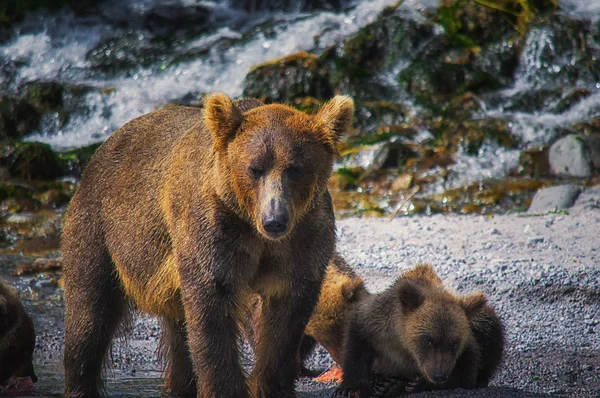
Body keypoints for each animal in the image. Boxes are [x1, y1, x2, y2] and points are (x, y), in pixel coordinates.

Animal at [61, 94, 352, 398]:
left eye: (295, 169)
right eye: (254, 168)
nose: (275, 220)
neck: (254, 230)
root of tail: (104, 147)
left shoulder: (303, 239)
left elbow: (286, 319)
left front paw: (271, 386)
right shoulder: (213, 231)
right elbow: (211, 307)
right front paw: (226, 388)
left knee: (177, 336)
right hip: (101, 229)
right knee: (90, 312)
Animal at [336, 262, 504, 396]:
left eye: (454, 343)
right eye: (428, 341)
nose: (439, 375)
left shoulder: (466, 346)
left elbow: (466, 372)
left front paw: (417, 384)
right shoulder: (375, 324)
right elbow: (356, 346)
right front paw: (350, 388)